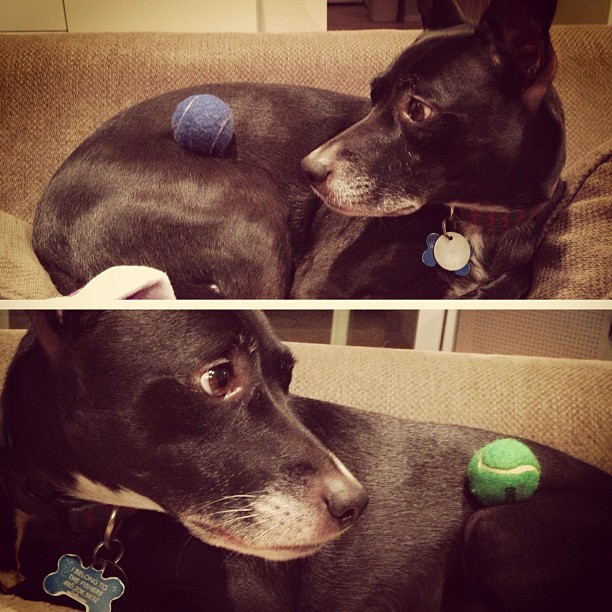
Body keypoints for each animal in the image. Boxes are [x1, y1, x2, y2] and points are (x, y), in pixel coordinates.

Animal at [33, 0, 568, 298]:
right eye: (374, 92)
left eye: (417, 108)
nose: (307, 170)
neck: (476, 219)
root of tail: (46, 234)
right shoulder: (314, 285)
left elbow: (507, 284)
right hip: (250, 213)